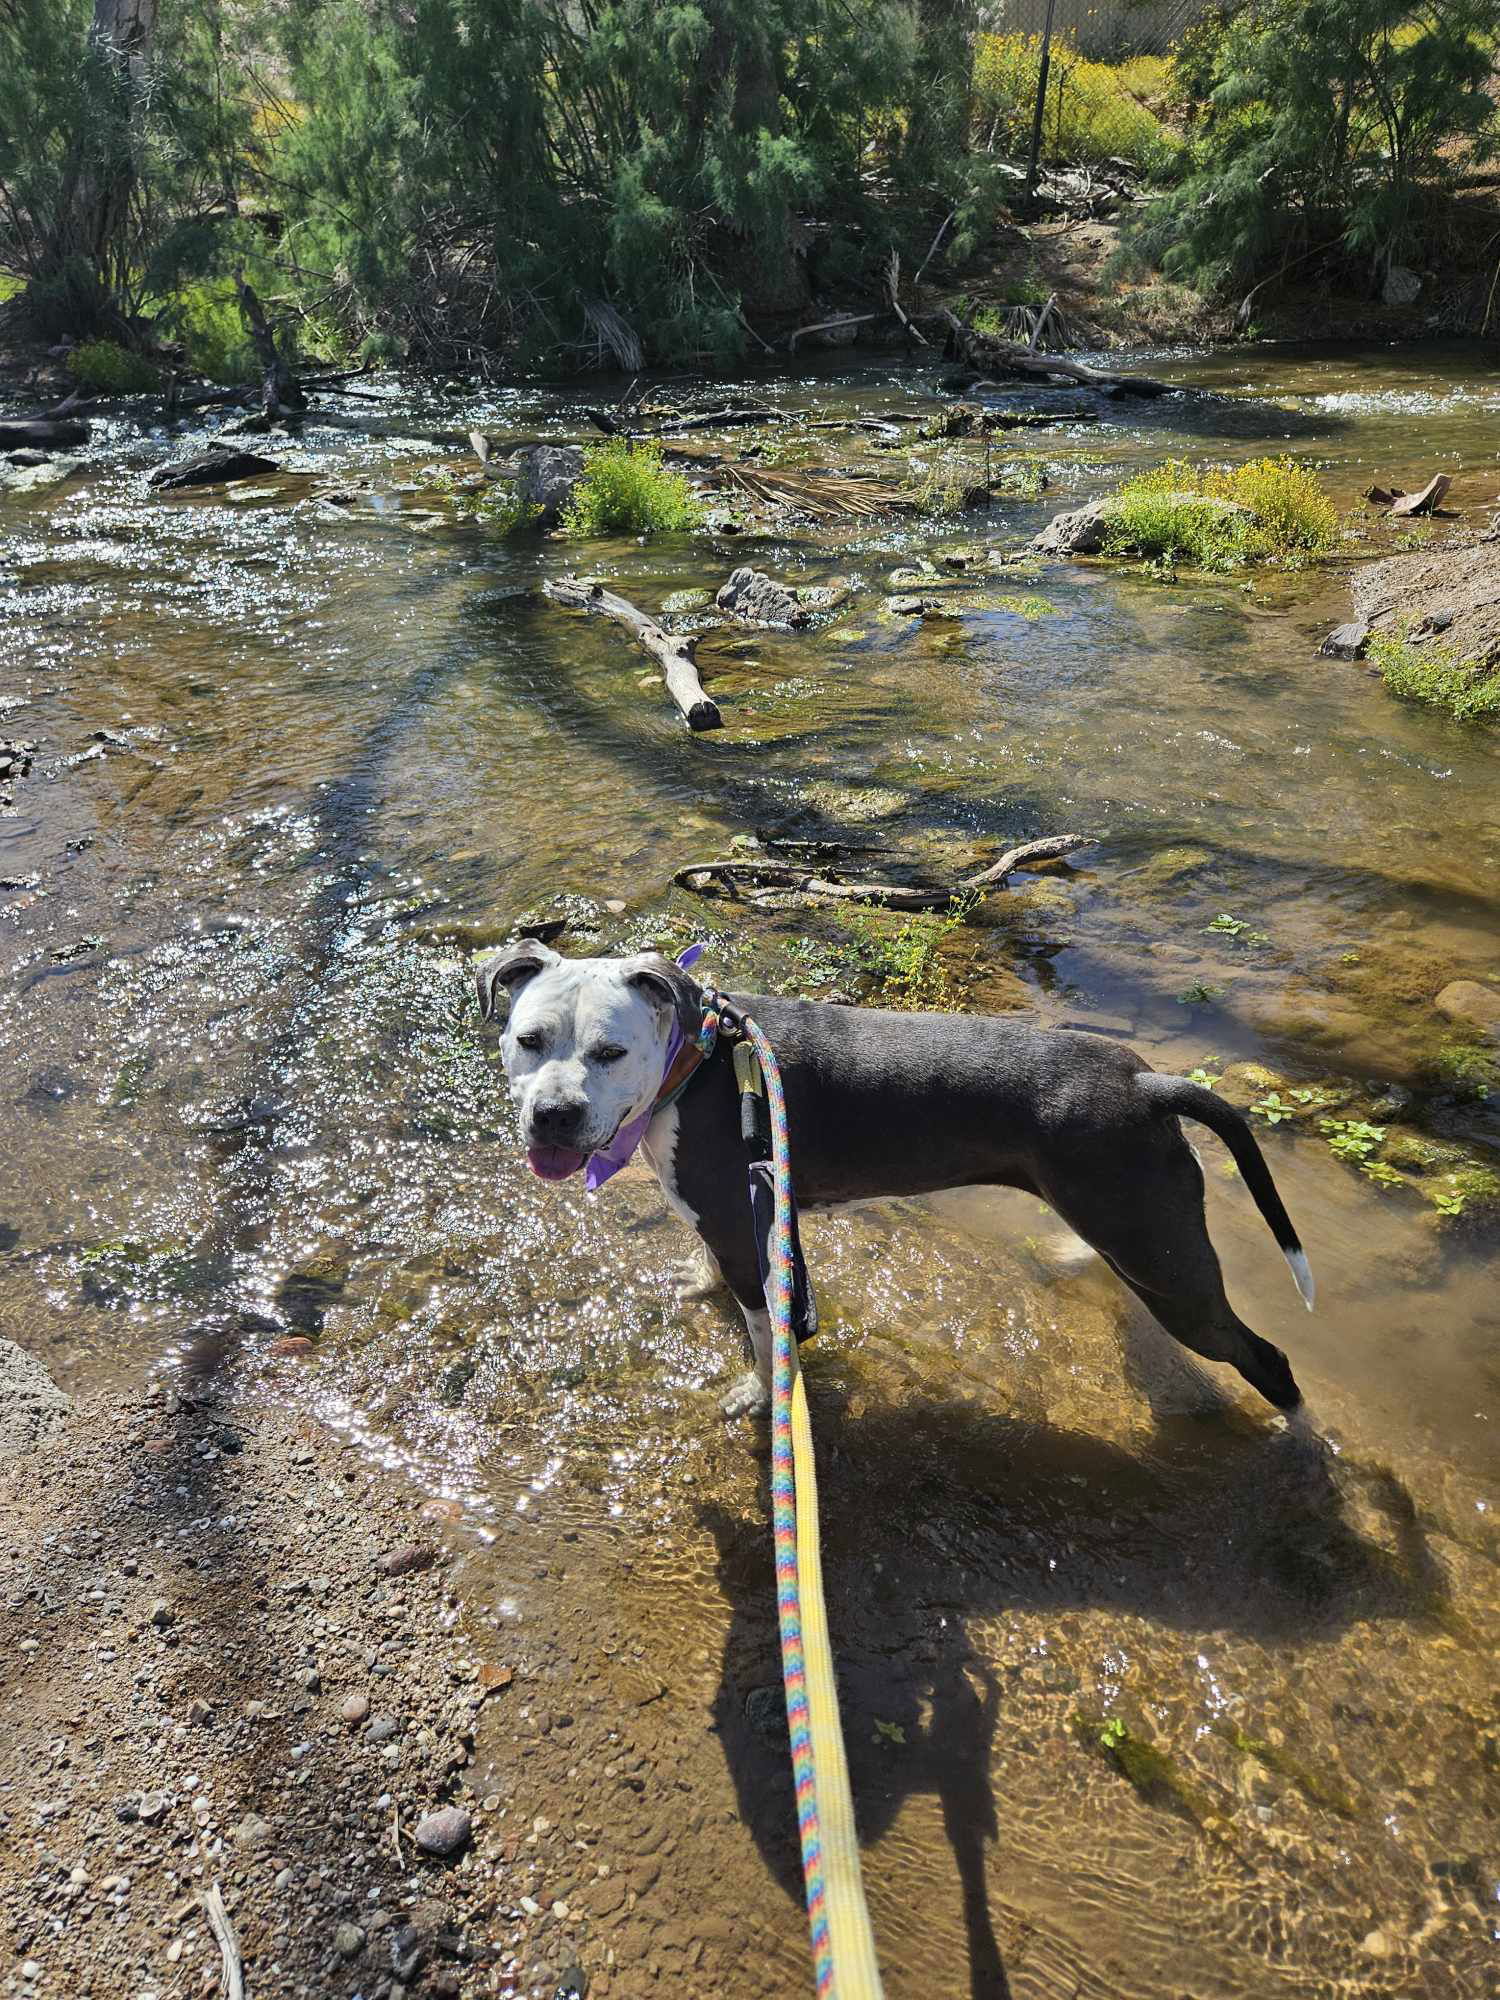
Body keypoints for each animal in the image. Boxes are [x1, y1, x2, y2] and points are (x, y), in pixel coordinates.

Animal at [478, 940, 1312, 1424]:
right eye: (529, 1039)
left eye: (609, 1051)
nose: (554, 1115)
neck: (696, 1059)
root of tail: (1146, 1084)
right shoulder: (736, 1219)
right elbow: (716, 1272)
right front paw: (699, 1283)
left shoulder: (751, 1233)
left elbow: (765, 1334)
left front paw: (759, 1395)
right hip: (1132, 1229)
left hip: (1169, 1271)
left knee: (1265, 1357)